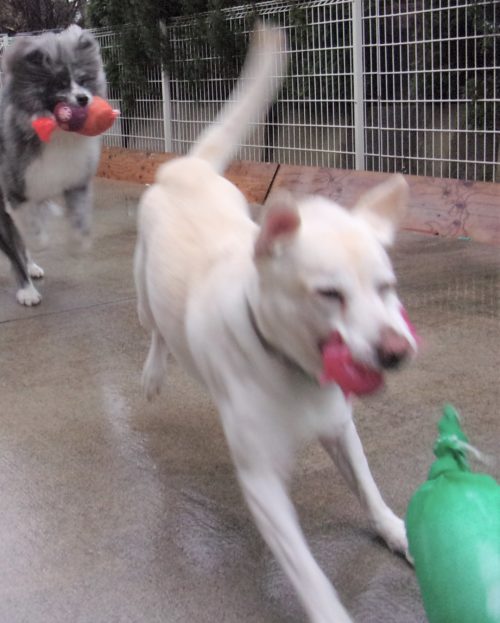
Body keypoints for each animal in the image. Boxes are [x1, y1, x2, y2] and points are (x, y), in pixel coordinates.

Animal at [0, 25, 106, 306]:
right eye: (58, 84)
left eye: (83, 80)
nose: (83, 99)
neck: (56, 135)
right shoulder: (15, 193)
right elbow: (29, 233)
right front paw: (27, 290)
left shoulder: (75, 182)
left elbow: (79, 220)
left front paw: (77, 246)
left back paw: (33, 267)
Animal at [134, 25, 418, 623]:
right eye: (329, 294)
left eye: (386, 287)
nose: (396, 351)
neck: (289, 363)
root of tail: (186, 168)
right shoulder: (262, 483)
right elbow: (310, 575)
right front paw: (330, 608)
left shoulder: (339, 428)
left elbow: (369, 488)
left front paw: (395, 531)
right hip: (144, 290)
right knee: (156, 330)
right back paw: (153, 372)